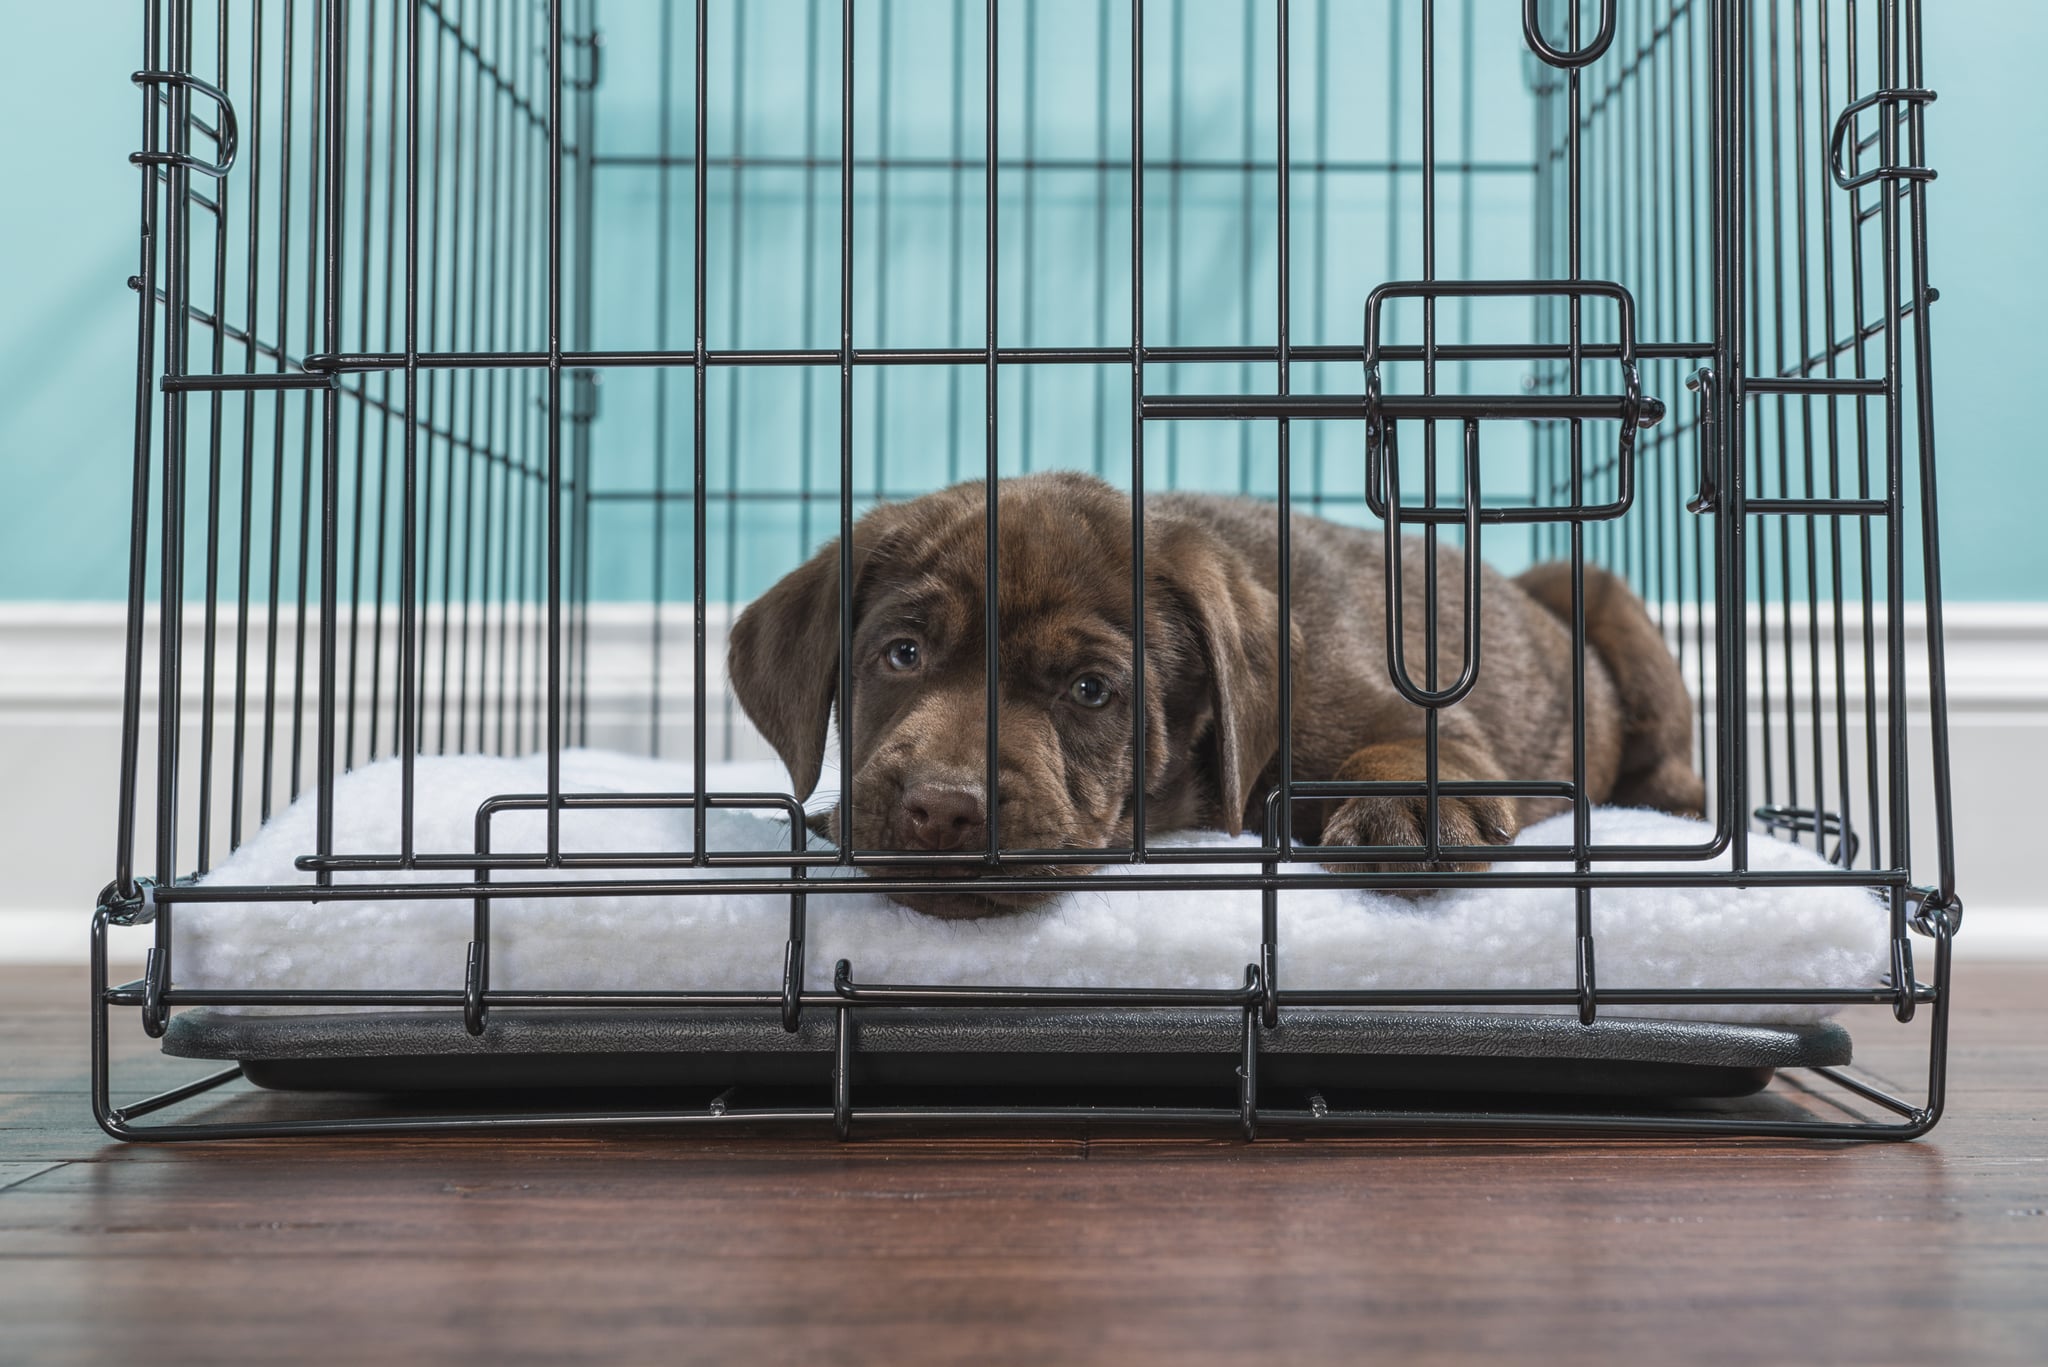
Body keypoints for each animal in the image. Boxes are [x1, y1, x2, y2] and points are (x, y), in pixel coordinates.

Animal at [729, 473, 1703, 918]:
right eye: (901, 654)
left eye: (1091, 690)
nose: (942, 809)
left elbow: (1414, 744)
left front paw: (1410, 808)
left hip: (1596, 589)